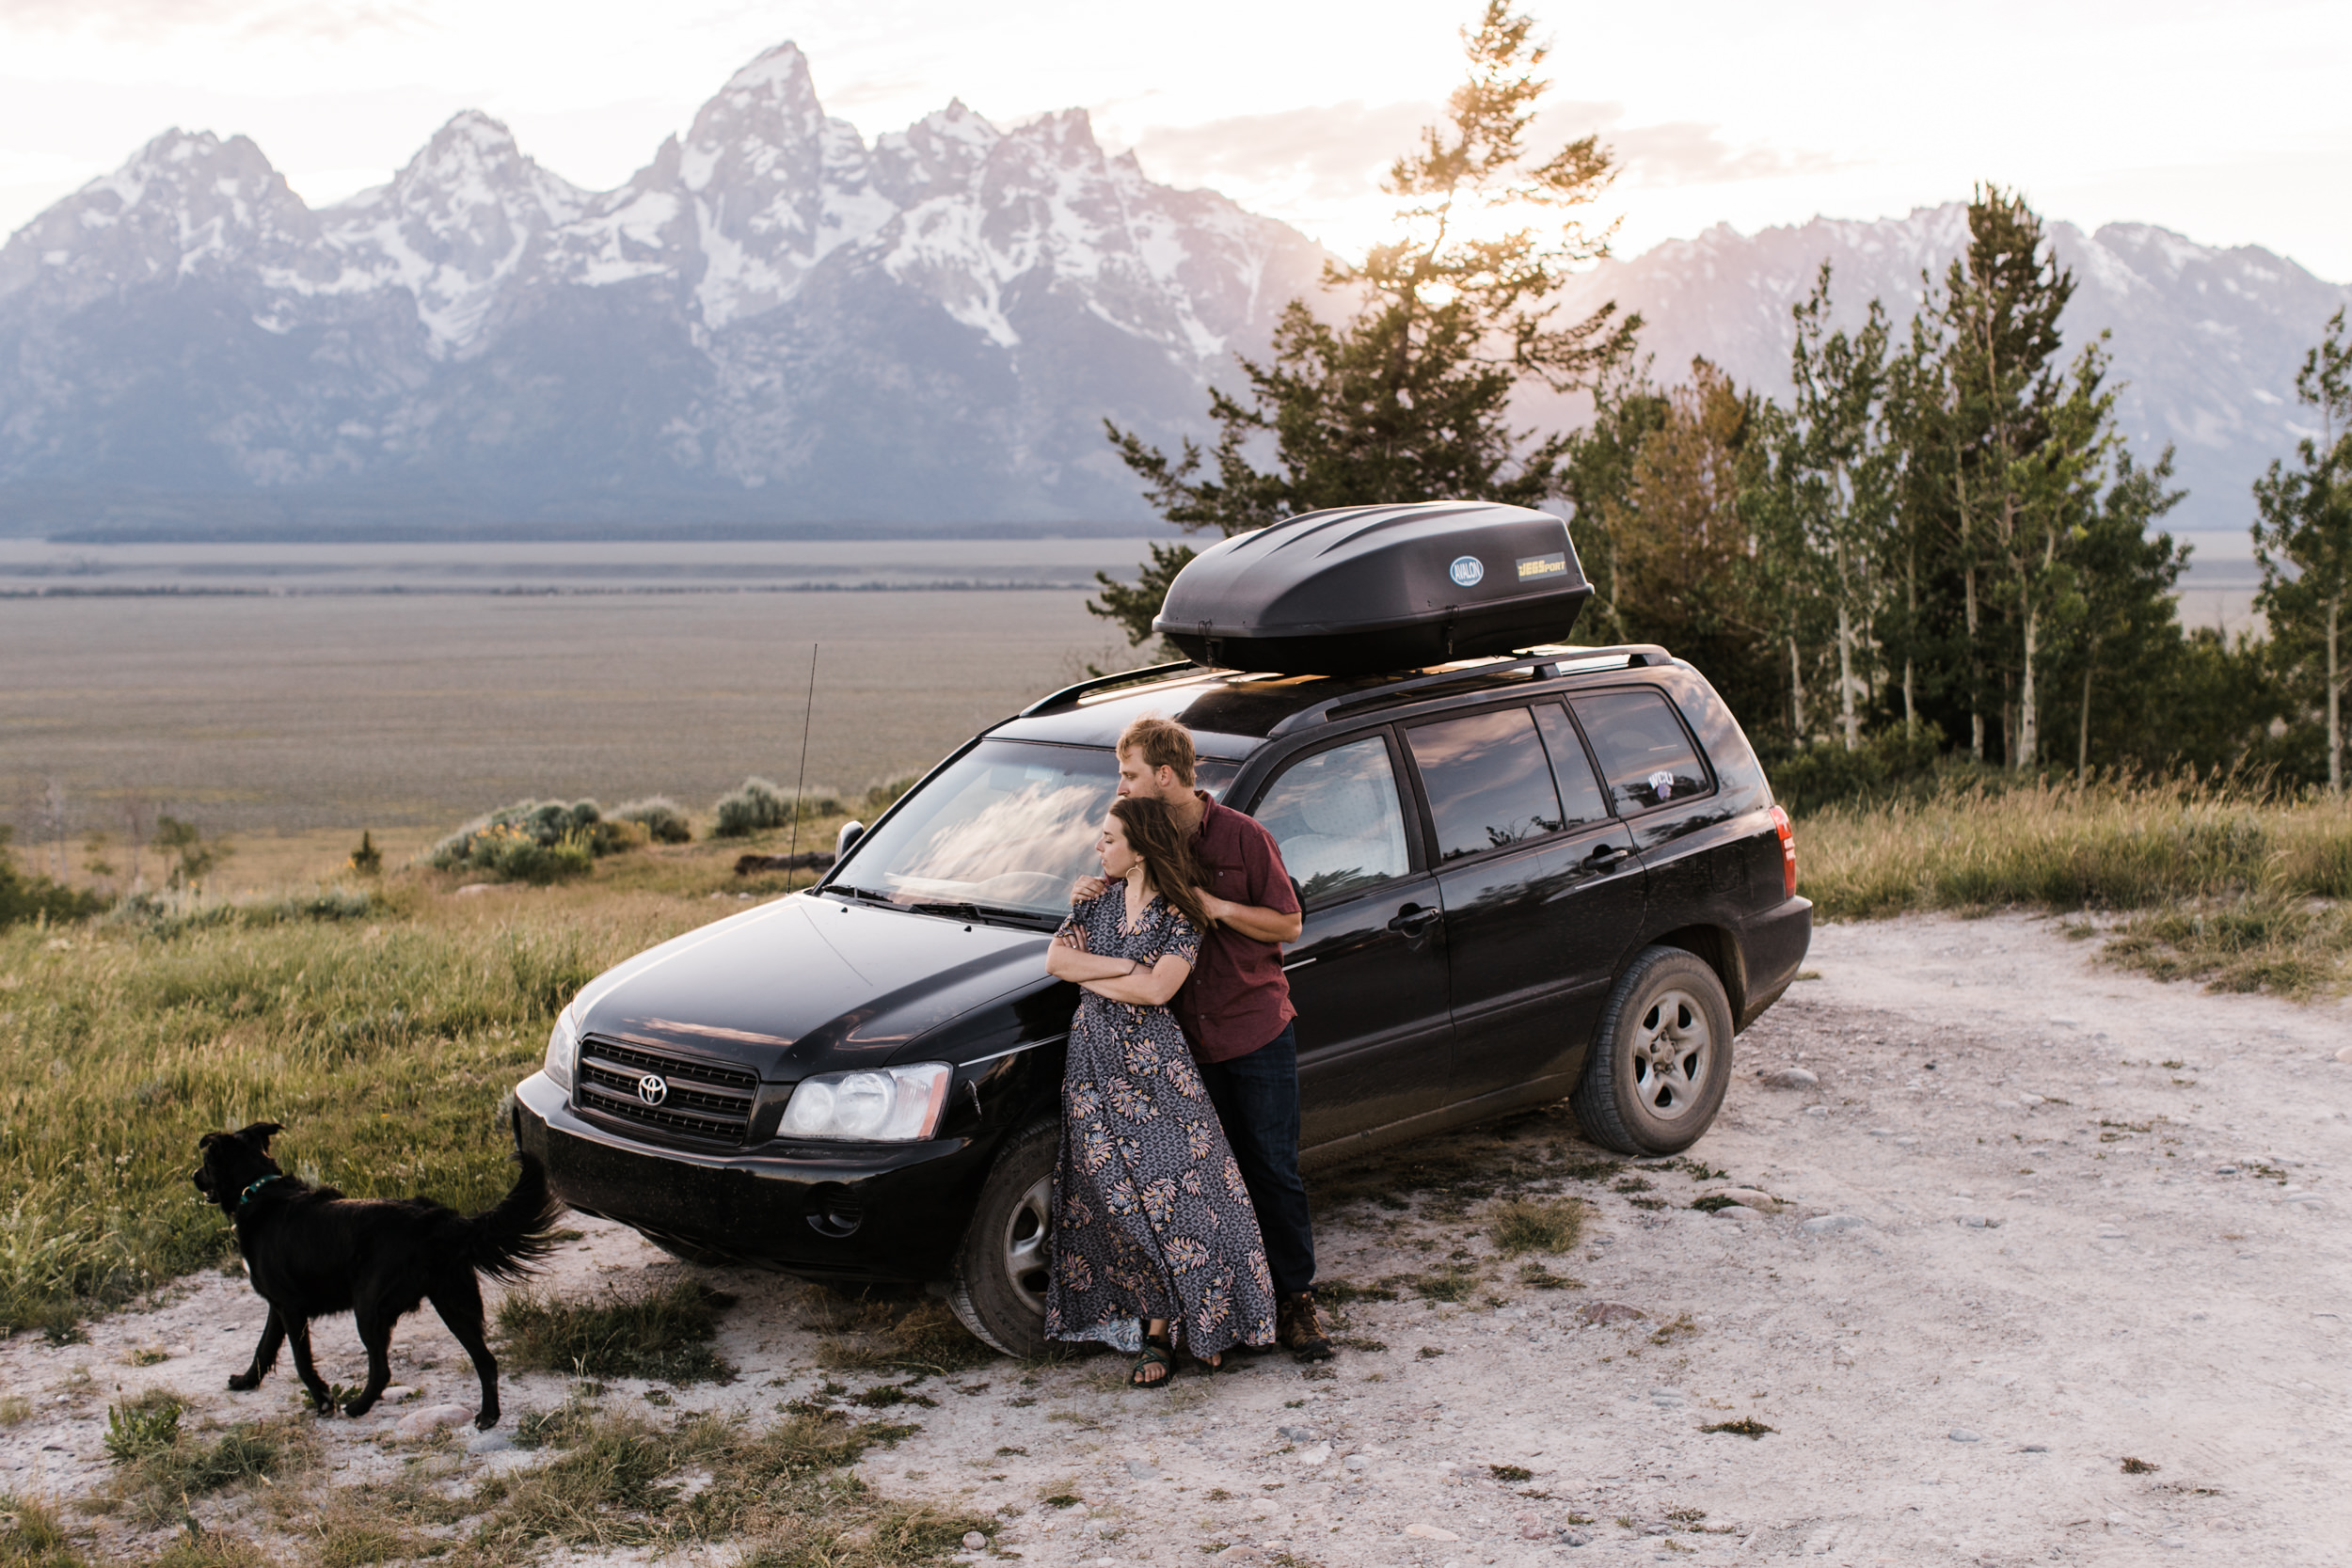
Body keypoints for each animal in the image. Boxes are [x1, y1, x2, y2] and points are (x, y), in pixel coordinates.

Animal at [190, 1123, 562, 1429]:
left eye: (206, 1162)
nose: (193, 1176)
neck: (257, 1189)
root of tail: (440, 1220)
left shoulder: (290, 1307)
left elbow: (300, 1360)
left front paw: (323, 1399)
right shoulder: (278, 1307)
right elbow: (263, 1348)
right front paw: (245, 1382)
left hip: (369, 1309)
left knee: (382, 1370)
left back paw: (357, 1407)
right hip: (453, 1302)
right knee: (486, 1361)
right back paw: (488, 1416)